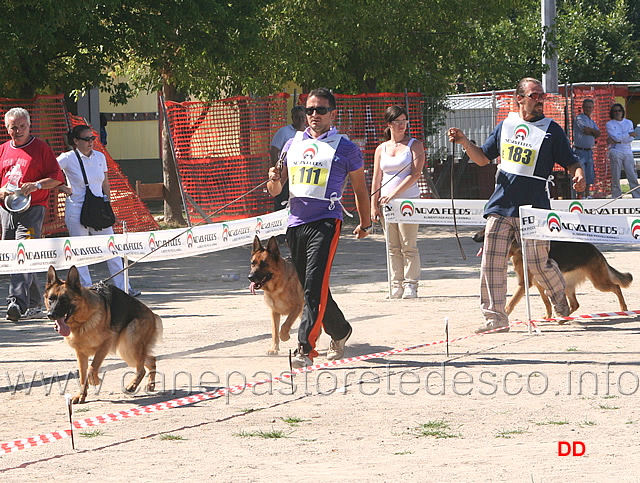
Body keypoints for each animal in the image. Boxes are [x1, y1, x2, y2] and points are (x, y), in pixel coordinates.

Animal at [43, 264, 161, 404]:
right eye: (51, 299)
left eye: (65, 300)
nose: (50, 315)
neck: (83, 320)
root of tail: (152, 314)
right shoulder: (80, 353)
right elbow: (82, 375)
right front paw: (81, 395)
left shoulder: (105, 344)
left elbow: (91, 368)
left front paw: (95, 381)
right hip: (126, 350)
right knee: (151, 360)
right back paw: (150, 384)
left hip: (129, 345)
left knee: (141, 368)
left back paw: (132, 385)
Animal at [472, 230, 632, 318]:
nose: (473, 236)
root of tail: (596, 250)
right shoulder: (539, 285)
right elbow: (547, 303)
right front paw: (548, 316)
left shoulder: (524, 284)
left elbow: (510, 303)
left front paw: (504, 314)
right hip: (567, 286)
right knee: (575, 304)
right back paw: (563, 317)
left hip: (599, 283)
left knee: (616, 287)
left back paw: (624, 309)